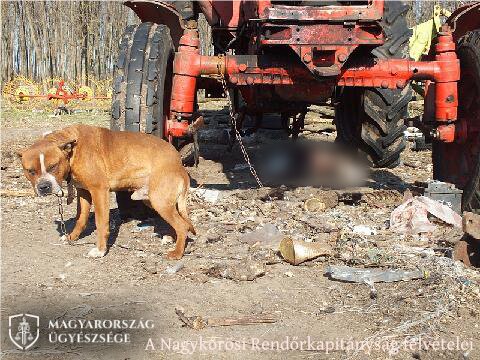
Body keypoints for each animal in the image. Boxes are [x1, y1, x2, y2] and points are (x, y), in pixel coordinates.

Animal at [18, 124, 195, 258]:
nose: (44, 187)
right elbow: (81, 219)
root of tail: (179, 165)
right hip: (153, 200)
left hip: (159, 201)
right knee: (181, 222)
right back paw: (172, 239)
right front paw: (72, 237)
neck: (72, 150)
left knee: (182, 225)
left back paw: (177, 253)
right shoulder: (83, 193)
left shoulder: (99, 191)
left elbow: (101, 223)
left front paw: (101, 250)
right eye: (30, 171)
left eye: (53, 166)